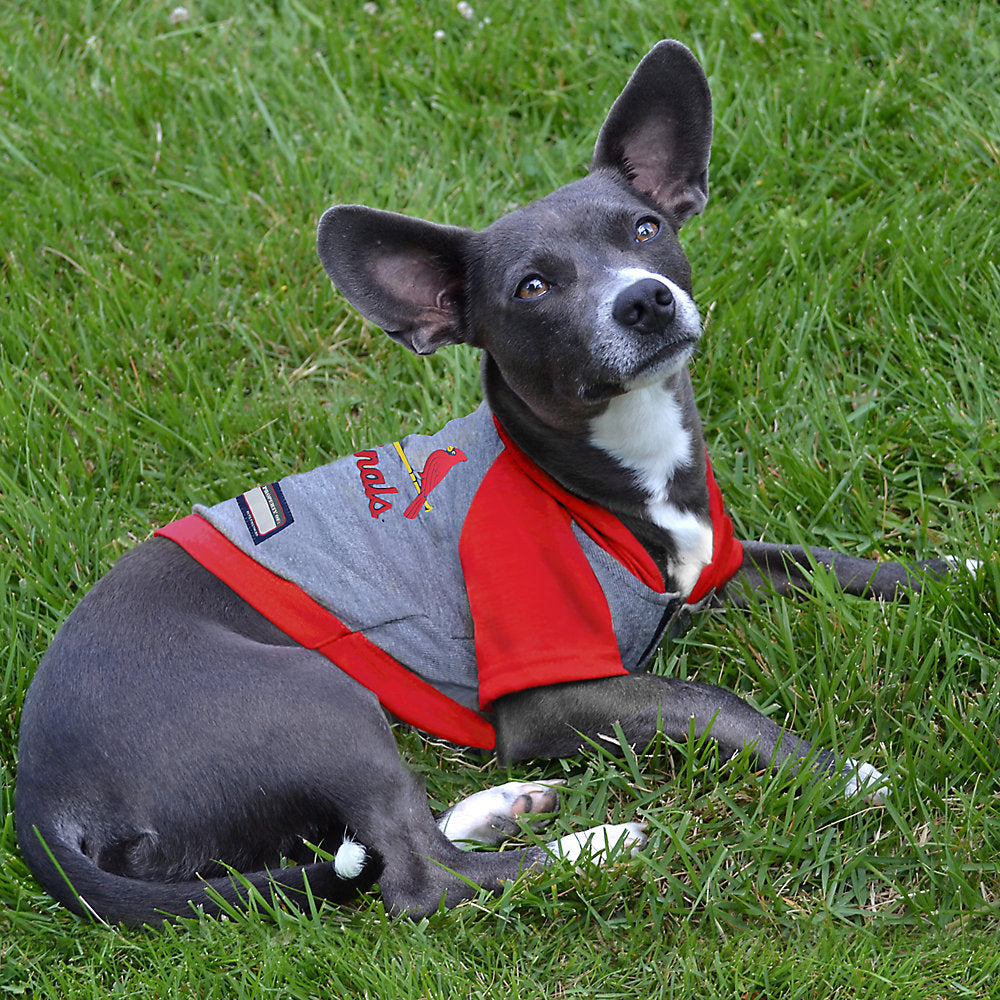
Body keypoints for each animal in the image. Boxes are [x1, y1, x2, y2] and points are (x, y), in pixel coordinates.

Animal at [13, 43, 952, 924]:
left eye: (647, 228)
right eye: (531, 287)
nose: (644, 300)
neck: (608, 471)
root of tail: (40, 801)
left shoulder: (712, 562)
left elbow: (827, 560)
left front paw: (956, 576)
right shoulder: (552, 695)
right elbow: (713, 700)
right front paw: (840, 772)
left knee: (392, 840)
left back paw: (504, 807)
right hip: (317, 695)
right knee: (419, 877)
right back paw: (598, 843)